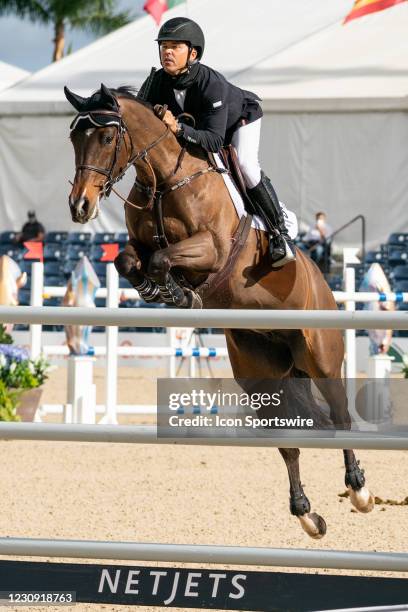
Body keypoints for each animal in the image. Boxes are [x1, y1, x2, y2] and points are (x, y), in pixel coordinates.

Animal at [65, 83, 374, 536]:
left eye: (106, 137)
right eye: (73, 138)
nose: (80, 206)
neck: (163, 181)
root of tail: (322, 281)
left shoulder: (212, 248)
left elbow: (164, 260)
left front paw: (177, 293)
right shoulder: (139, 246)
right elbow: (129, 261)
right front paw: (160, 290)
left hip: (320, 355)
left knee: (339, 415)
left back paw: (359, 489)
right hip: (261, 375)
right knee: (290, 440)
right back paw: (306, 513)